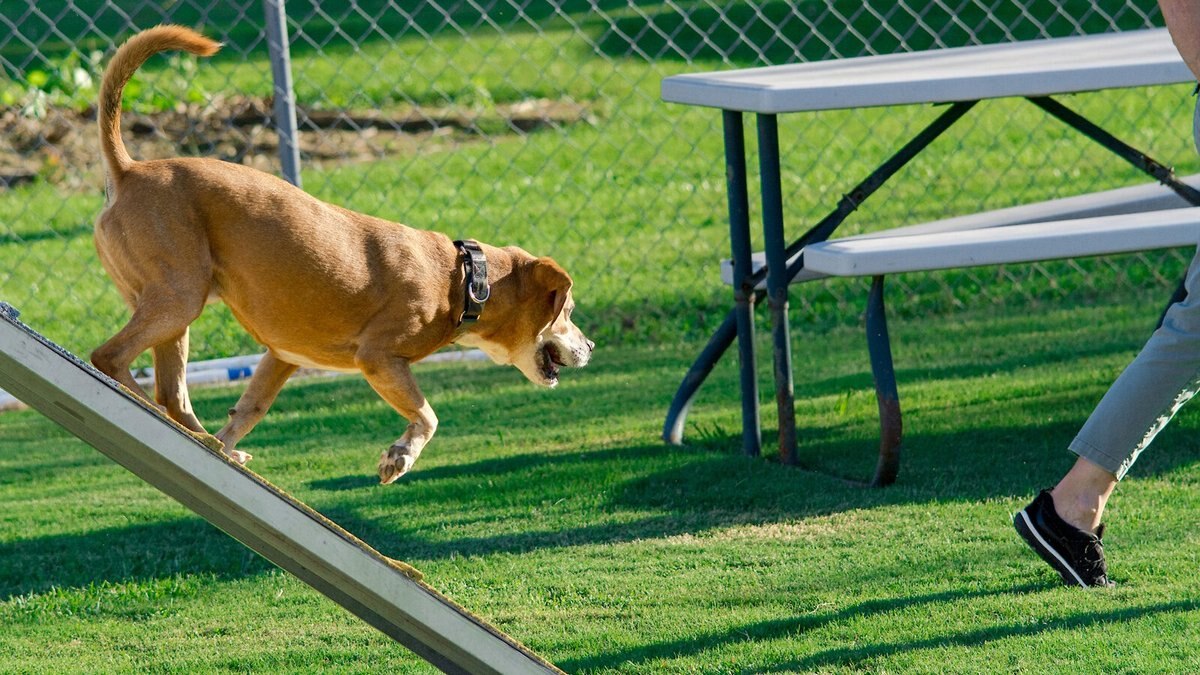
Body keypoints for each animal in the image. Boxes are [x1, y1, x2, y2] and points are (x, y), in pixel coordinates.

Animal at [87, 24, 592, 478]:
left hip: (178, 316)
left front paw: (227, 446)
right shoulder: (379, 359)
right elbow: (428, 414)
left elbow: (249, 409)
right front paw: (399, 457)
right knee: (109, 358)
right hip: (180, 297)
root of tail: (129, 170)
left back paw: (203, 440)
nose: (590, 345)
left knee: (172, 394)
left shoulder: (282, 356)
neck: (466, 280)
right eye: (567, 311)